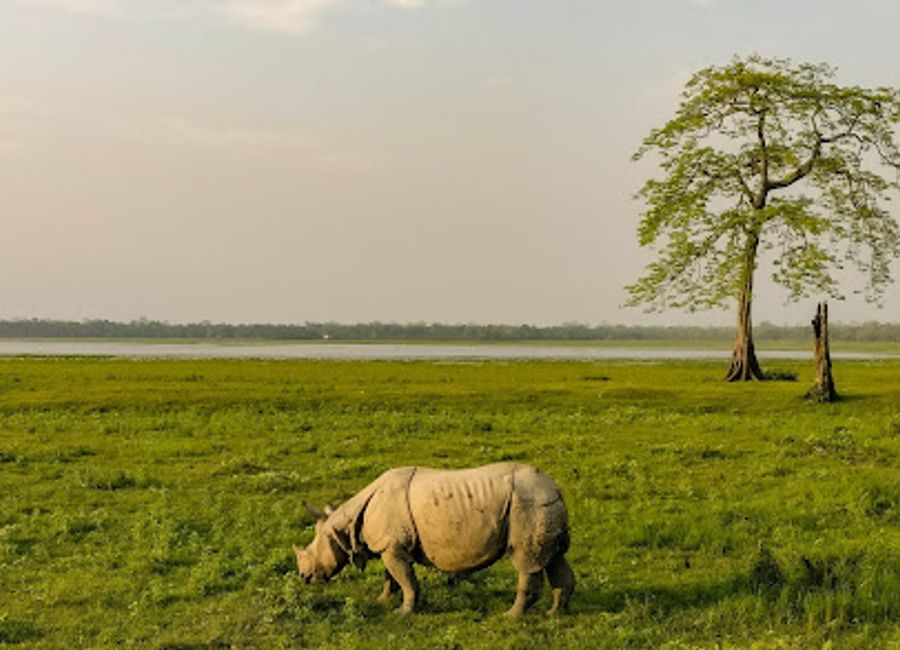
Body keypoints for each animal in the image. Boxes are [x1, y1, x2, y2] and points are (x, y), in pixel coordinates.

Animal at [292, 463, 574, 616]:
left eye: (311, 554)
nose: (303, 577)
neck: (345, 525)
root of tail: (556, 489)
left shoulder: (394, 547)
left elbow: (406, 581)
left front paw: (403, 612)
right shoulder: (390, 545)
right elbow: (390, 576)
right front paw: (382, 600)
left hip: (529, 504)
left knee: (526, 562)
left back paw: (510, 616)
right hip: (542, 506)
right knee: (554, 558)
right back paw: (554, 613)